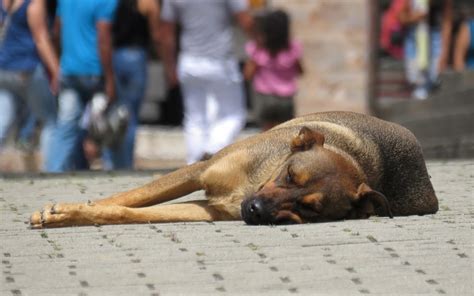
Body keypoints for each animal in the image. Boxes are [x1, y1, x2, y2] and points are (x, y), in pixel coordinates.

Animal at [28, 111, 436, 227]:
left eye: (309, 208)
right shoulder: (198, 171)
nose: (254, 211)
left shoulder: (208, 210)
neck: (252, 183)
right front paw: (64, 211)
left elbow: (124, 212)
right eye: (290, 175)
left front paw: (71, 214)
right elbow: (128, 196)